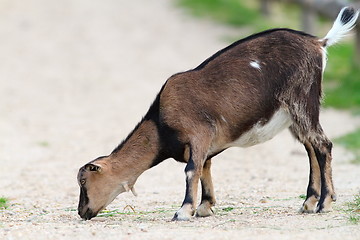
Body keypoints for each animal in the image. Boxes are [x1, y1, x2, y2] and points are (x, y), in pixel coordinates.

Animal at [77, 7, 358, 221]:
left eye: (83, 181)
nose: (82, 212)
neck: (160, 125)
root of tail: (319, 43)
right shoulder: (204, 146)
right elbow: (205, 168)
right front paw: (205, 207)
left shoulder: (198, 133)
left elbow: (191, 170)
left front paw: (183, 211)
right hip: (296, 112)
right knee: (311, 147)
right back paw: (309, 202)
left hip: (302, 100)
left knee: (323, 145)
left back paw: (324, 203)